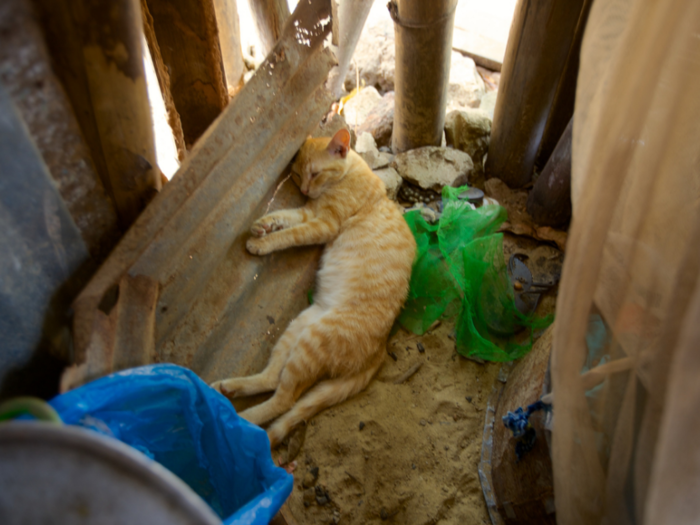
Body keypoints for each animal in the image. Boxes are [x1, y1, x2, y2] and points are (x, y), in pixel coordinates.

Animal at [208, 128, 416, 446]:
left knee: (285, 399)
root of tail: (382, 348)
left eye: (315, 173)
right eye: (296, 175)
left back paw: (241, 423)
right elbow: (286, 215)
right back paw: (228, 388)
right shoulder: (309, 212)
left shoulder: (323, 224)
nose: (305, 189)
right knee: (271, 379)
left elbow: (290, 234)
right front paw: (261, 225)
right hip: (299, 328)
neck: (350, 174)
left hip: (311, 345)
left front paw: (262, 243)